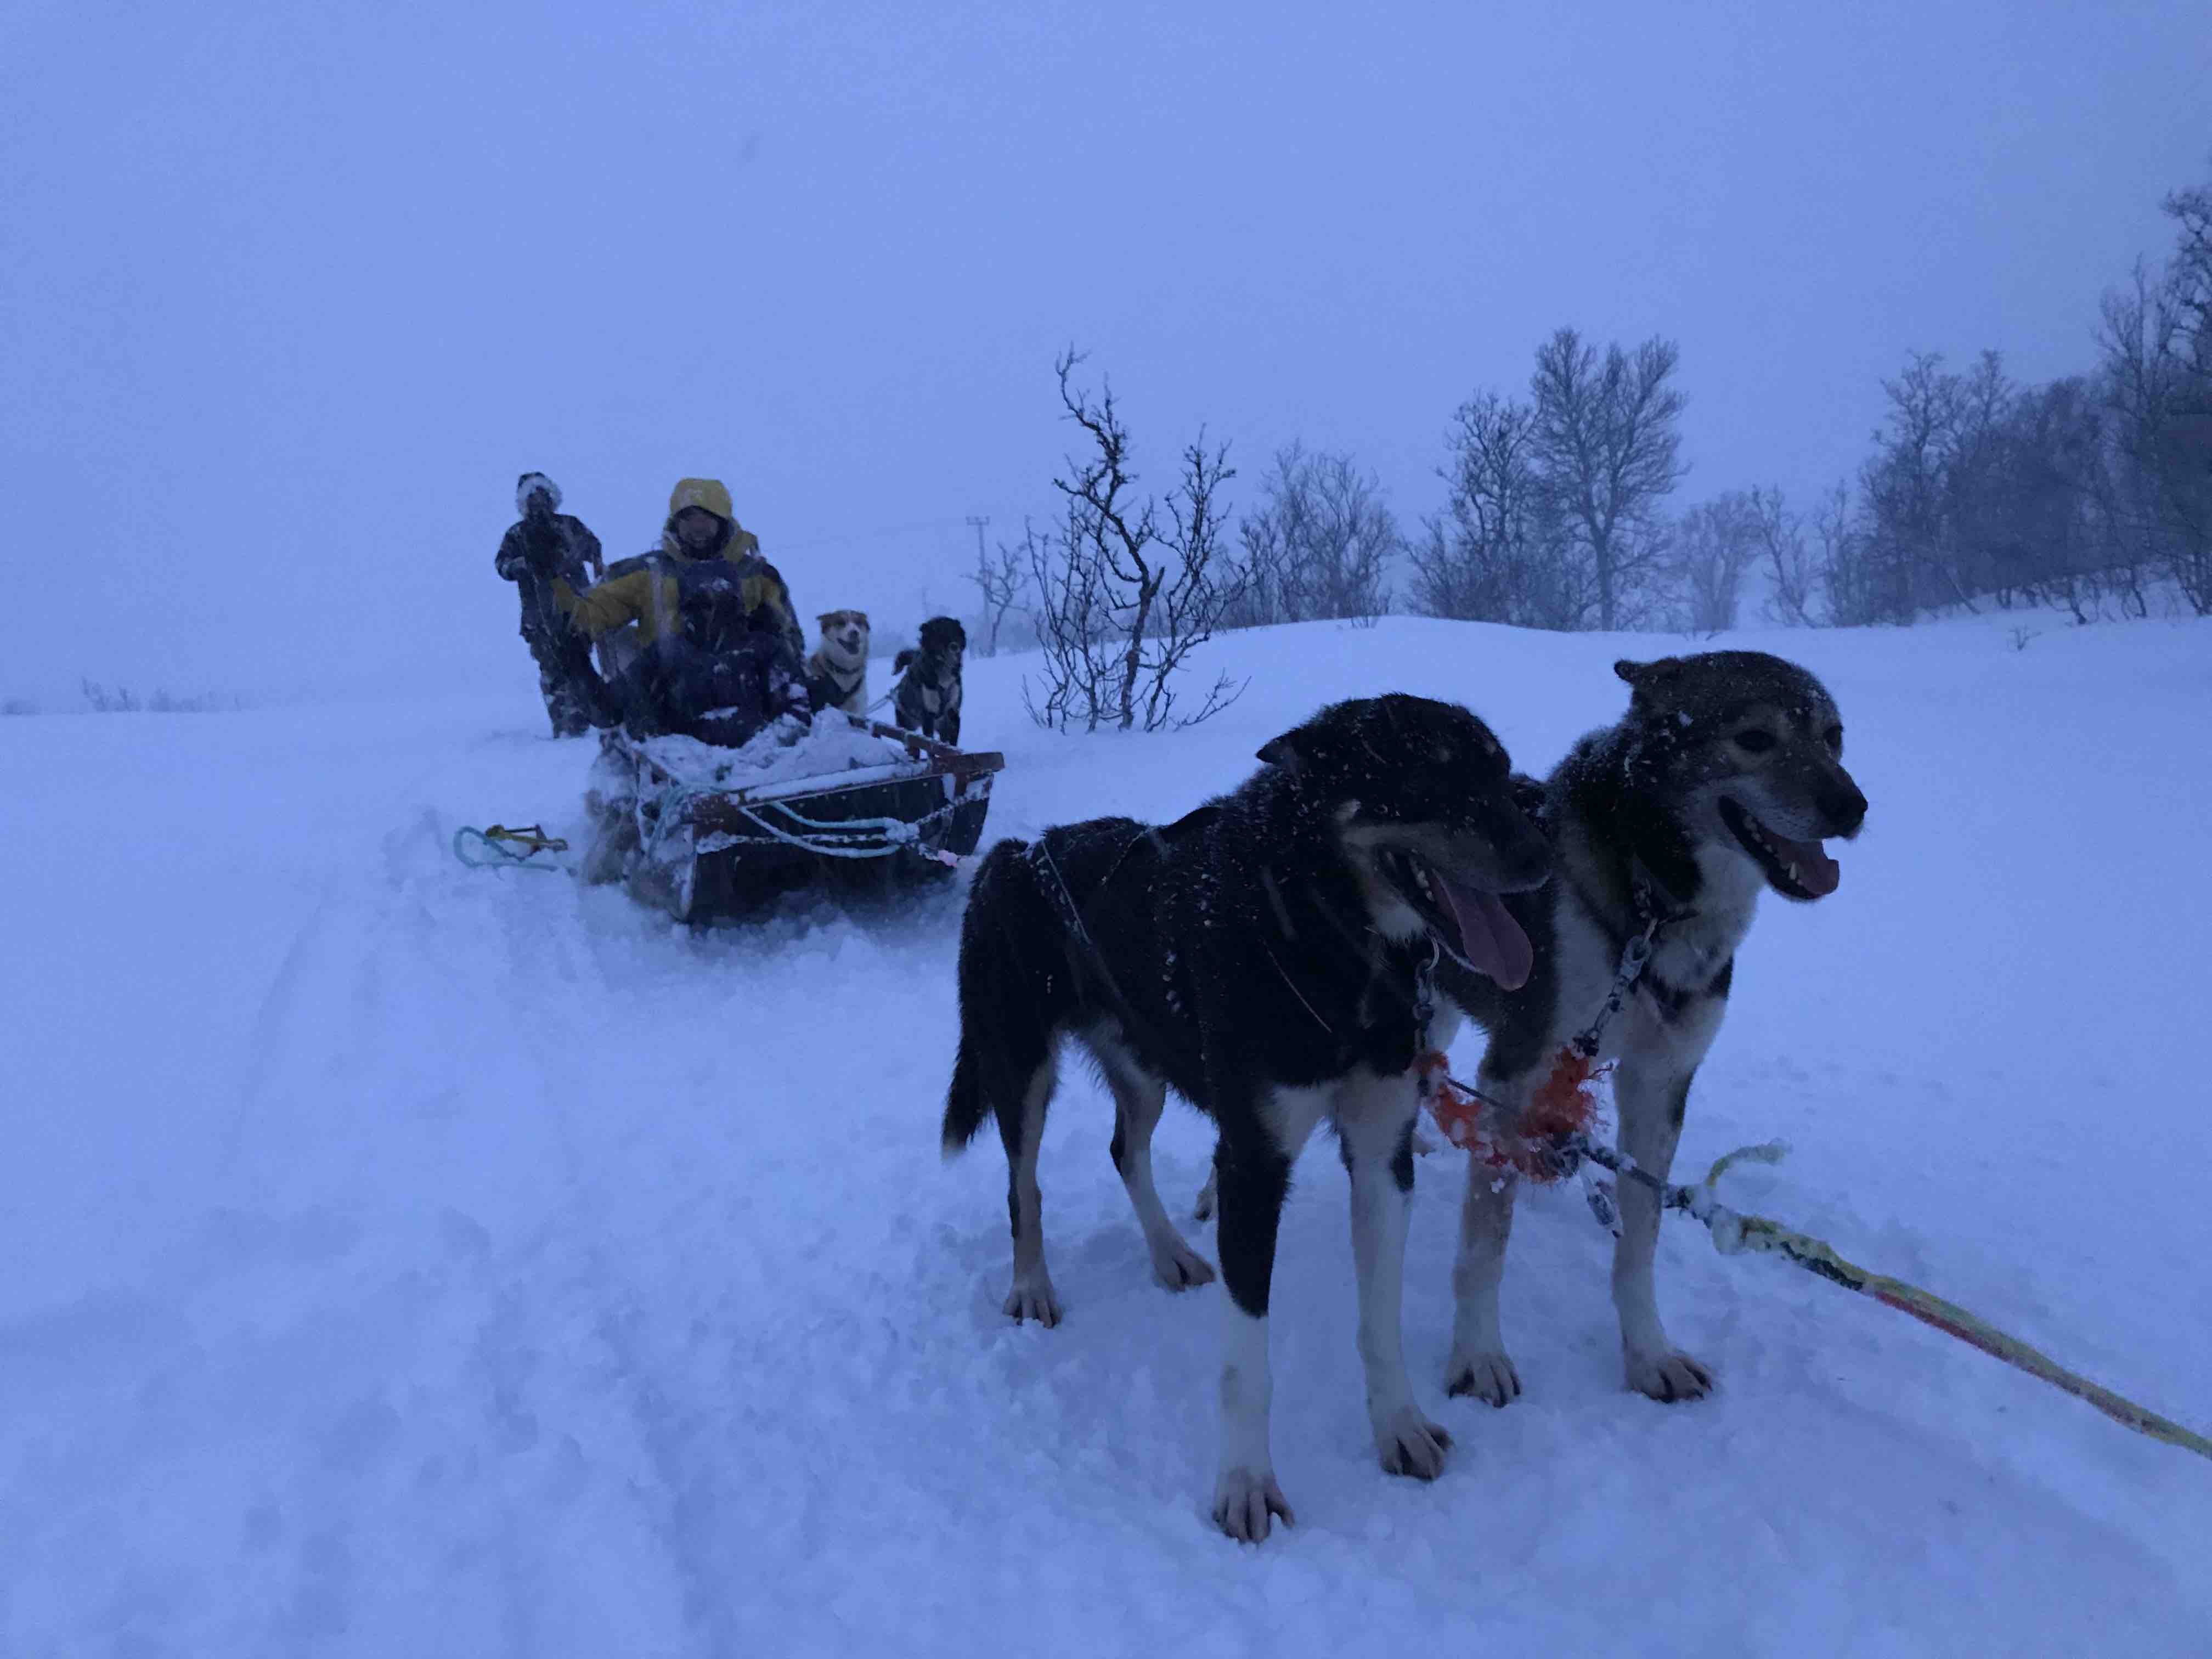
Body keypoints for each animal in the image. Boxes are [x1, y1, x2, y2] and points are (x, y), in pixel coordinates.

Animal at [1433, 654, 1867, 1407]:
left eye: (1833, 736)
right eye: (1755, 738)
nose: (1853, 807)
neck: (1653, 906)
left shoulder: (1659, 1084)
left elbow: (1640, 1243)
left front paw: (1649, 1356)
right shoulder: (1515, 1070)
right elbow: (1485, 1244)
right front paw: (1479, 1355)